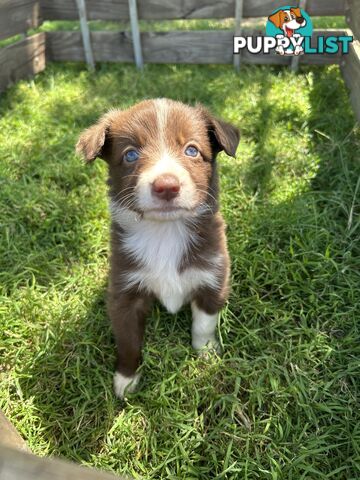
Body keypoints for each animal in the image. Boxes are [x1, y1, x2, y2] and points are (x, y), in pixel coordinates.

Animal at [76, 97, 239, 398]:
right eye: (130, 155)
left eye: (192, 150)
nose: (167, 186)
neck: (165, 232)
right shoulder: (124, 292)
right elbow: (128, 340)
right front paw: (126, 378)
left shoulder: (213, 277)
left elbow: (204, 323)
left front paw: (207, 352)